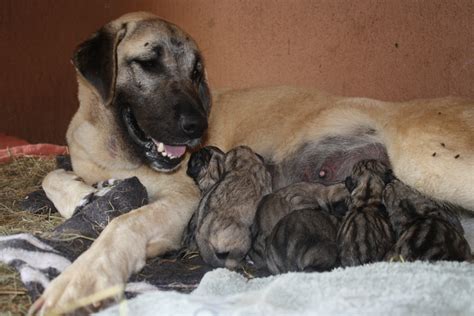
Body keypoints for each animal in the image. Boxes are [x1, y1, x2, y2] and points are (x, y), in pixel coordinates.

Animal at [33, 11, 474, 314]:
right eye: (149, 62)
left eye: (196, 72)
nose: (198, 127)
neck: (113, 146)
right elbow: (52, 176)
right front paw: (87, 196)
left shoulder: (182, 199)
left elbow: (124, 223)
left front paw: (83, 278)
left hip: (430, 162)